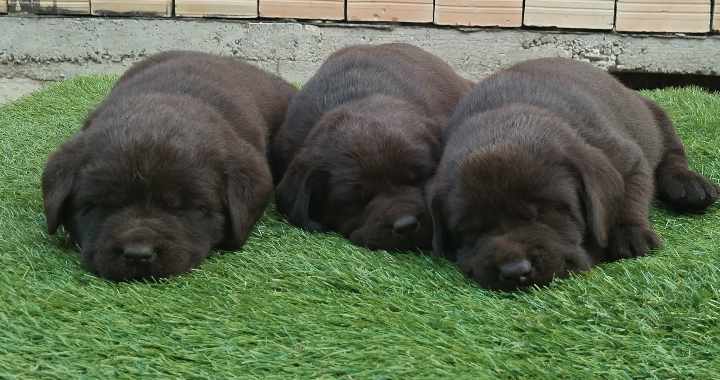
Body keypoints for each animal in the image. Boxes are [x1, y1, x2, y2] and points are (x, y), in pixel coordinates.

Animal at [430, 58, 716, 290]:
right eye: (469, 230)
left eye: (546, 213)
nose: (515, 271)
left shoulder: (628, 158)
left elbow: (630, 197)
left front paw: (630, 234)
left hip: (656, 115)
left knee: (672, 155)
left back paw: (689, 186)